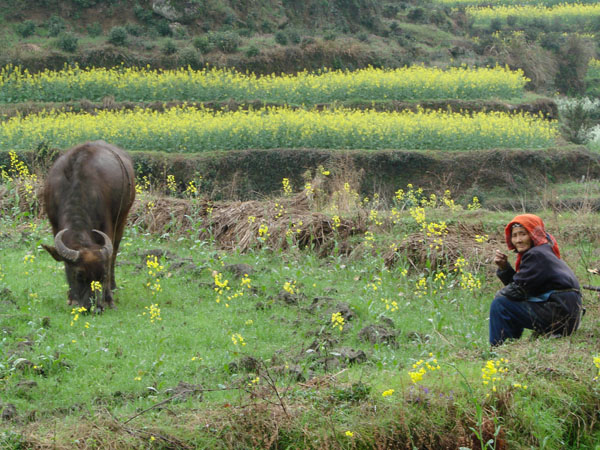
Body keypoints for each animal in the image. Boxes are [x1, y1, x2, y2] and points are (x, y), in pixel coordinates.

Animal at [41, 140, 135, 310]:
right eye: (79, 275)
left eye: (102, 275)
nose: (95, 307)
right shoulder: (54, 224)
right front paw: (71, 297)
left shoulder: (107, 225)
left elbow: (109, 259)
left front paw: (108, 299)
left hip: (122, 218)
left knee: (115, 253)